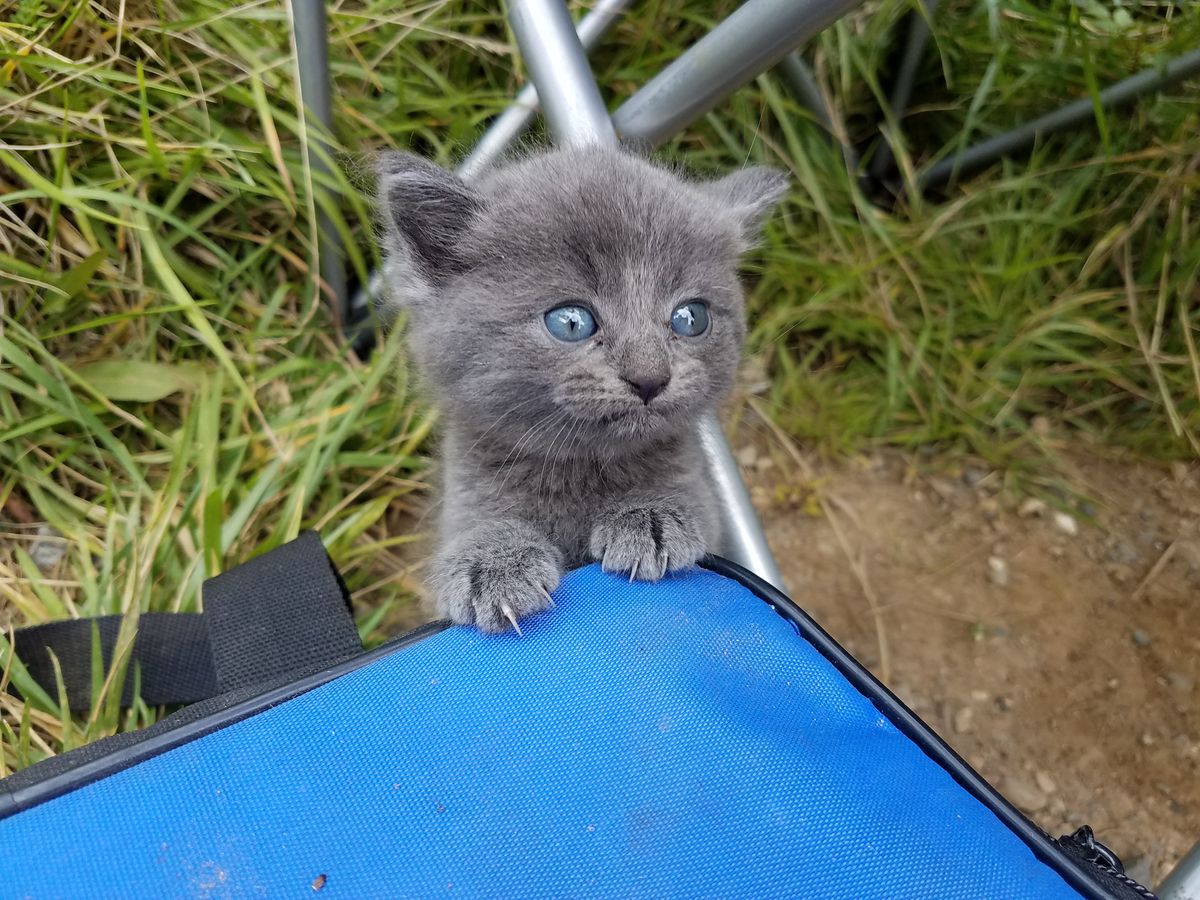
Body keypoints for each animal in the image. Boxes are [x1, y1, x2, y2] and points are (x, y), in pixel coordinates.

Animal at [376, 150, 787, 633]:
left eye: (691, 318)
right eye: (570, 322)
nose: (650, 377)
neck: (581, 471)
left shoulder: (697, 480)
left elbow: (693, 502)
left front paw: (650, 514)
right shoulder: (465, 489)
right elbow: (476, 527)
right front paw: (492, 562)